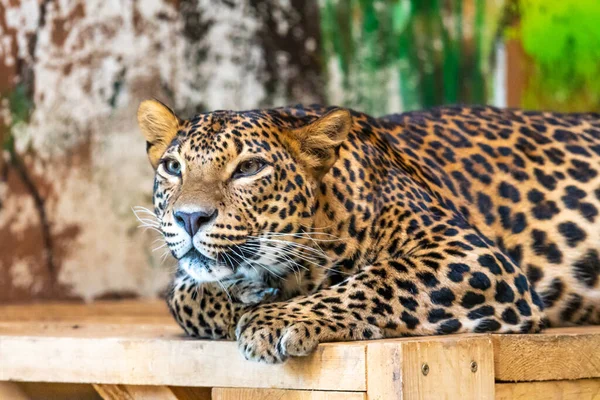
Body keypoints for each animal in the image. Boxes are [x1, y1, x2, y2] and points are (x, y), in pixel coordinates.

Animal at [136, 99, 600, 362]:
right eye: (173, 167)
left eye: (249, 168)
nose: (189, 218)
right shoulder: (190, 278)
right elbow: (186, 296)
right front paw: (249, 297)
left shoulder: (470, 254)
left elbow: (378, 281)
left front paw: (275, 318)